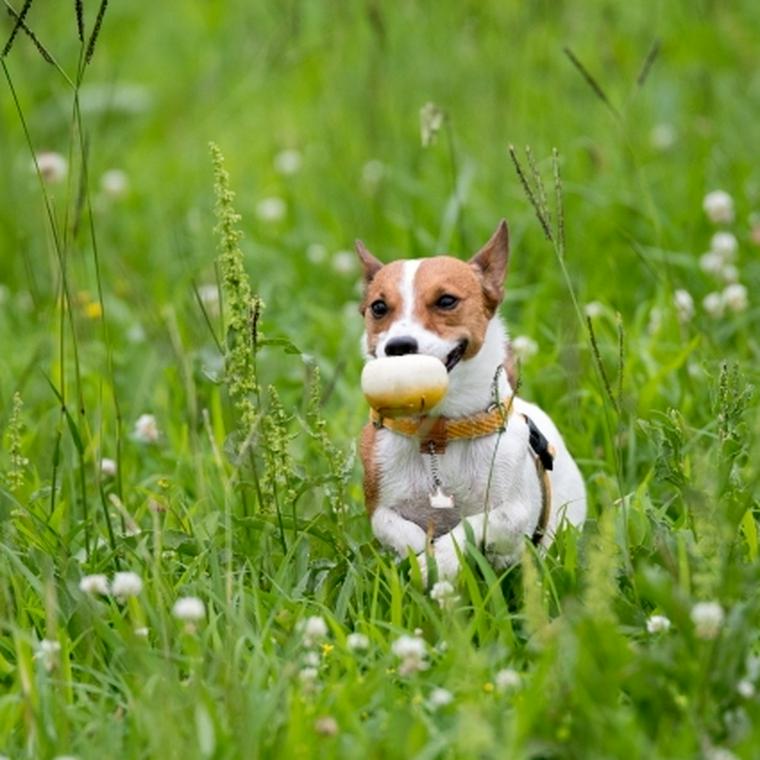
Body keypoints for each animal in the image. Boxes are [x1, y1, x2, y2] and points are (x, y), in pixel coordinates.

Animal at [356, 220, 588, 580]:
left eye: (446, 300)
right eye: (378, 307)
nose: (398, 346)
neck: (440, 433)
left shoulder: (515, 513)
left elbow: (476, 524)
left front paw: (444, 557)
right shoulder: (380, 505)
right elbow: (397, 529)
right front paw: (422, 554)